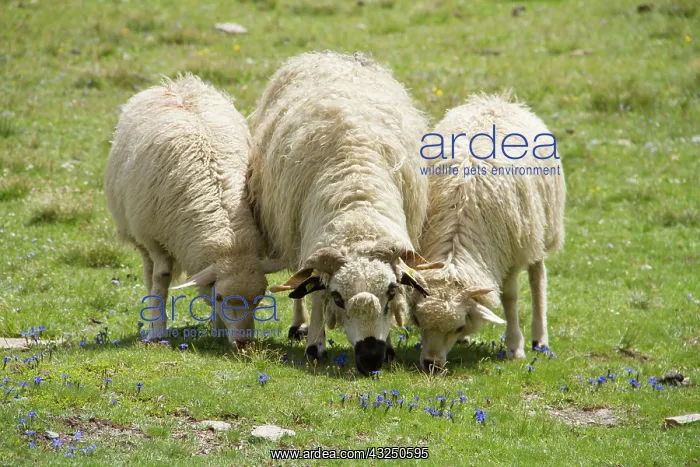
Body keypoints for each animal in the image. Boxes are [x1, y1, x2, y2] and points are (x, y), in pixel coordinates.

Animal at [105, 74, 281, 344]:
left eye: (260, 297)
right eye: (220, 298)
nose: (243, 342)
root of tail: (176, 84)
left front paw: (218, 328)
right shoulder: (156, 240)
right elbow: (161, 278)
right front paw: (157, 330)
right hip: (138, 232)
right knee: (148, 272)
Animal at [247, 51, 441, 375]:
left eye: (391, 292)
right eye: (338, 298)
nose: (371, 358)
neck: (357, 203)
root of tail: (333, 56)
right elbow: (315, 293)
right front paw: (315, 345)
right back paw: (299, 326)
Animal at [412, 92, 566, 371]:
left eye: (458, 326)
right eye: (417, 320)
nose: (431, 365)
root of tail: (497, 101)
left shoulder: (511, 254)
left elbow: (510, 297)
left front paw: (514, 347)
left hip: (540, 228)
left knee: (538, 277)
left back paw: (540, 339)